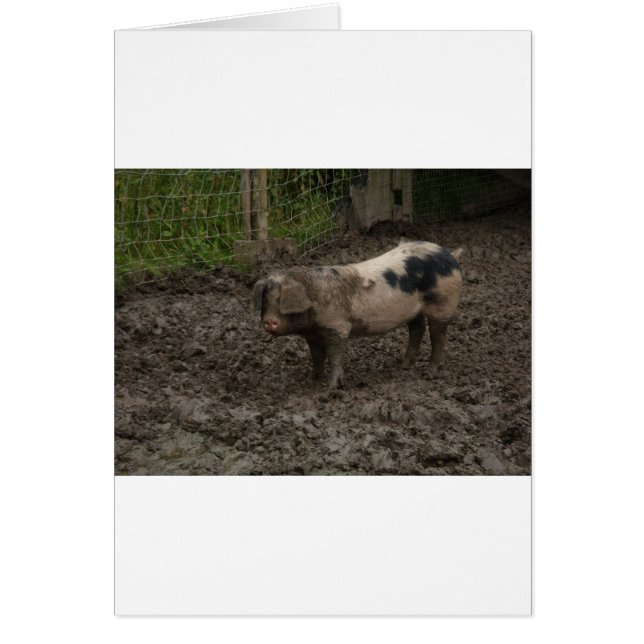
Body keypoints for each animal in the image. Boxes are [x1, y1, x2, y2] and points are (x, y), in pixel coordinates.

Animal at [253, 241, 463, 388]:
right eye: (266, 302)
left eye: (281, 301)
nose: (269, 321)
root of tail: (449, 255)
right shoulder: (312, 334)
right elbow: (317, 357)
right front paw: (311, 380)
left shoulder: (338, 326)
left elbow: (334, 356)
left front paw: (331, 387)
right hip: (413, 309)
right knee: (417, 329)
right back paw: (403, 367)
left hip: (443, 303)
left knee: (437, 336)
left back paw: (429, 373)